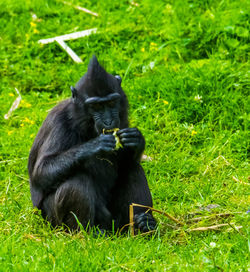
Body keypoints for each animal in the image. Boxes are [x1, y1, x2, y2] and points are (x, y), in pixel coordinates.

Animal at [27, 55, 156, 234]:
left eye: (111, 103)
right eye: (96, 106)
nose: (108, 121)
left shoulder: (122, 120)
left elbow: (127, 160)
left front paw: (136, 139)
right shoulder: (58, 122)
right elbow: (41, 171)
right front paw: (95, 145)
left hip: (116, 222)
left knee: (133, 169)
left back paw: (142, 224)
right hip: (55, 222)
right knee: (77, 181)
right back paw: (85, 233)